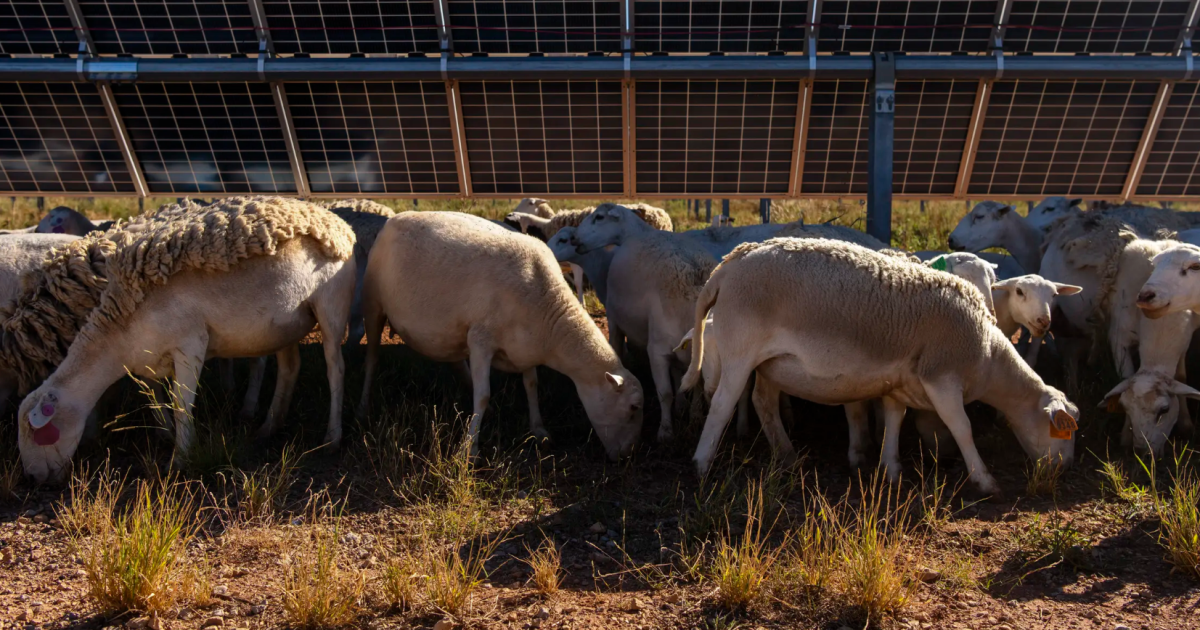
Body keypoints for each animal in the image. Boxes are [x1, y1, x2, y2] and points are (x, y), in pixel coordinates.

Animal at [18, 197, 357, 483]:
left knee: (336, 369)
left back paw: (332, 437)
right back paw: (269, 426)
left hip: (331, 306)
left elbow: (182, 403)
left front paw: (180, 458)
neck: (120, 331)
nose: (34, 479)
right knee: (289, 368)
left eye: (37, 432)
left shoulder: (190, 343)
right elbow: (155, 397)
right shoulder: (151, 357)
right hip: (287, 322)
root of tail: (335, 220)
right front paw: (165, 433)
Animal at [358, 211, 644, 458]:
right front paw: (469, 449)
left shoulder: (525, 348)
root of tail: (395, 217)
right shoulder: (480, 341)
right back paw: (364, 406)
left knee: (453, 359)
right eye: (633, 408)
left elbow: (531, 385)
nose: (626, 456)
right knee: (371, 359)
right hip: (372, 303)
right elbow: (483, 395)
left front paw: (539, 430)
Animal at [680, 237, 1079, 494]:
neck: (988, 354)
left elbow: (893, 420)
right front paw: (983, 480)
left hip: (771, 363)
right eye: (1063, 431)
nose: (1062, 470)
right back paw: (700, 464)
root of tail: (728, 264)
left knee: (764, 402)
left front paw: (891, 469)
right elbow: (961, 427)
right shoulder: (941, 377)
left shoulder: (900, 382)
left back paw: (788, 456)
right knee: (722, 405)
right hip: (740, 352)